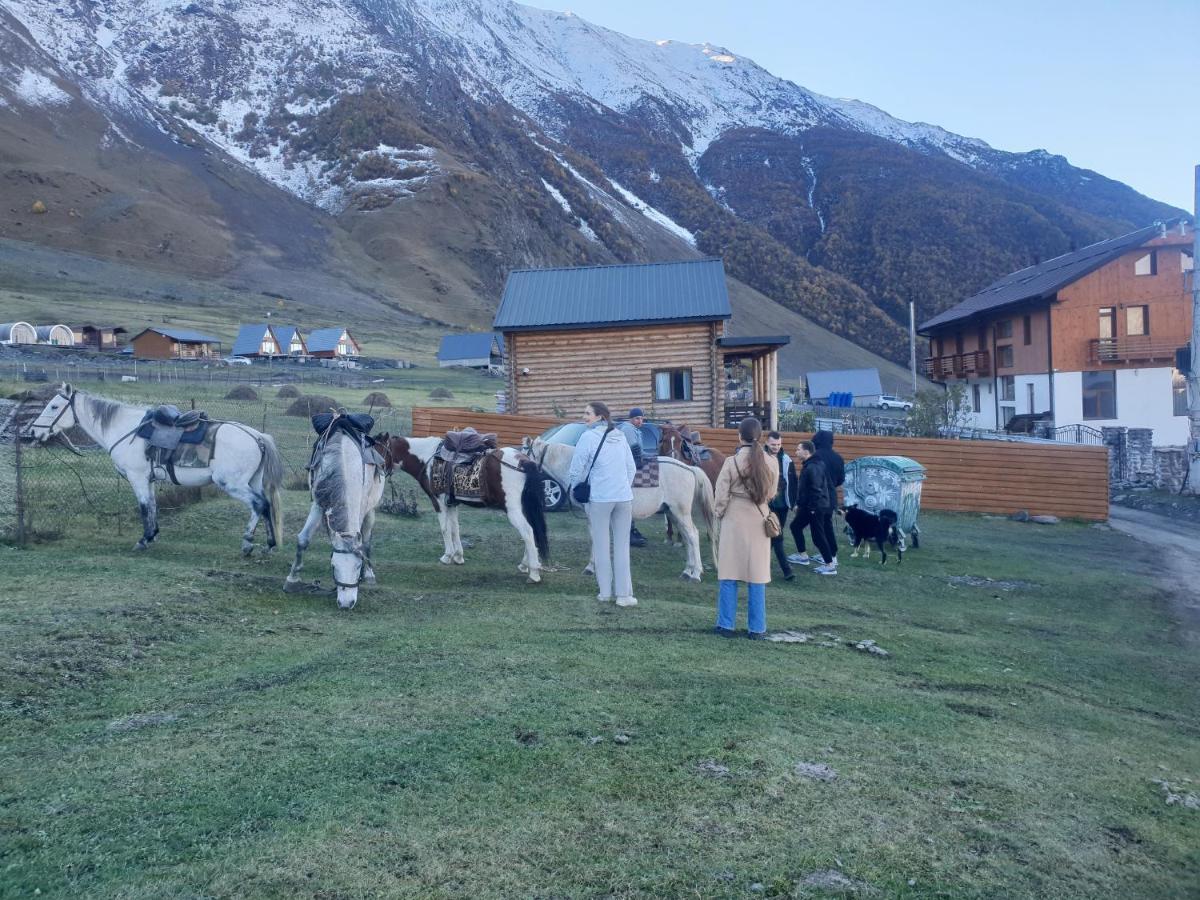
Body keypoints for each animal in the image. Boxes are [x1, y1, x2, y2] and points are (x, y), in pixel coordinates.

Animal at [24, 384, 286, 554]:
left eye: (53, 406)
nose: (33, 431)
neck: (124, 428)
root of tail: (257, 437)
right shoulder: (148, 478)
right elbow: (152, 505)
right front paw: (154, 535)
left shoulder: (137, 477)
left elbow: (143, 507)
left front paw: (144, 539)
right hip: (252, 482)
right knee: (264, 506)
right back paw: (267, 544)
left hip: (232, 483)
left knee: (259, 504)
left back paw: (249, 543)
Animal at [285, 427, 384, 614]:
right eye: (333, 566)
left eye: (358, 566)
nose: (346, 604)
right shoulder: (319, 504)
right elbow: (303, 540)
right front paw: (292, 579)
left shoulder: (361, 507)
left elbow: (363, 544)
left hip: (371, 510)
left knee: (367, 540)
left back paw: (370, 575)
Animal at [532, 439, 715, 580]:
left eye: (528, 452)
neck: (585, 470)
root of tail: (689, 469)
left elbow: (594, 539)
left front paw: (591, 568)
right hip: (672, 512)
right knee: (687, 537)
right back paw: (687, 571)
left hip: (680, 512)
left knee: (693, 535)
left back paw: (696, 573)